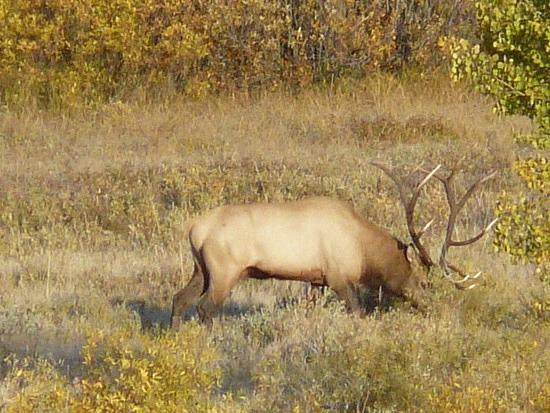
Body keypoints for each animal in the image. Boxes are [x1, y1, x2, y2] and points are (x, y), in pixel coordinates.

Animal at [170, 163, 498, 326]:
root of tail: (194, 229)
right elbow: (358, 311)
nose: (433, 309)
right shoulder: (339, 276)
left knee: (179, 299)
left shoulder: (315, 279)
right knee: (205, 309)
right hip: (225, 269)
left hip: (201, 269)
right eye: (424, 283)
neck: (364, 251)